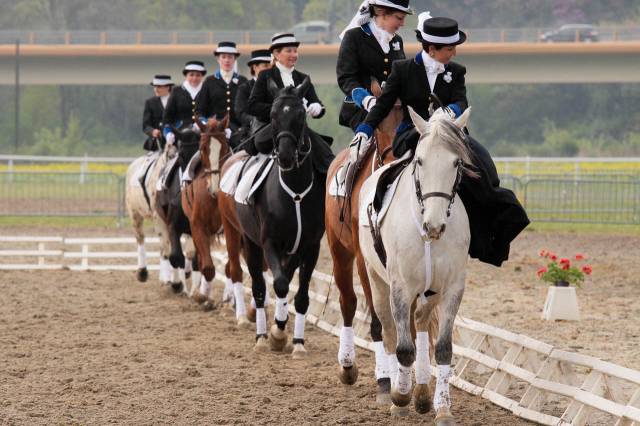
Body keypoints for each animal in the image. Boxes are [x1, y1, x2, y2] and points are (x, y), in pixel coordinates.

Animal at [222, 79, 328, 356]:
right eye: (272, 115)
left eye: (301, 115)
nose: (286, 155)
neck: (295, 188)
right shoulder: (268, 242)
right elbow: (279, 284)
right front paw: (277, 333)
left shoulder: (310, 247)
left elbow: (300, 296)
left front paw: (297, 342)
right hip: (249, 242)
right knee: (259, 288)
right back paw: (261, 336)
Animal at [360, 106, 476, 422]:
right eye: (420, 161)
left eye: (456, 162)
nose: (434, 226)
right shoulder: (400, 287)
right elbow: (403, 348)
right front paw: (400, 398)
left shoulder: (452, 288)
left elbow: (444, 349)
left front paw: (443, 409)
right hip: (377, 280)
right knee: (389, 330)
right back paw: (394, 391)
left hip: (430, 290)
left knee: (422, 322)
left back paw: (423, 394)